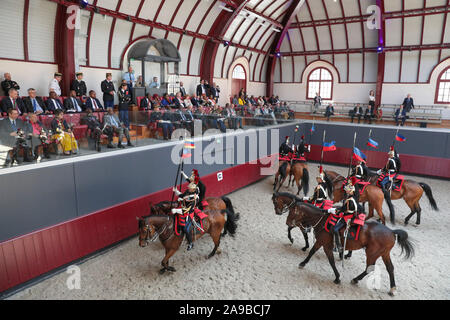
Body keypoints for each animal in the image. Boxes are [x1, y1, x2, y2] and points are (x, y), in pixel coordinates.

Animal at [270, 191, 414, 296]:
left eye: (292, 211)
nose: (279, 214)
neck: (321, 219)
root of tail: (391, 231)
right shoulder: (320, 241)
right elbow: (313, 251)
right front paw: (303, 261)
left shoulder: (323, 243)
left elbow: (329, 260)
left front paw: (337, 277)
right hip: (384, 253)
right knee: (390, 268)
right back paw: (392, 288)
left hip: (372, 253)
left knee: (370, 268)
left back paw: (355, 278)